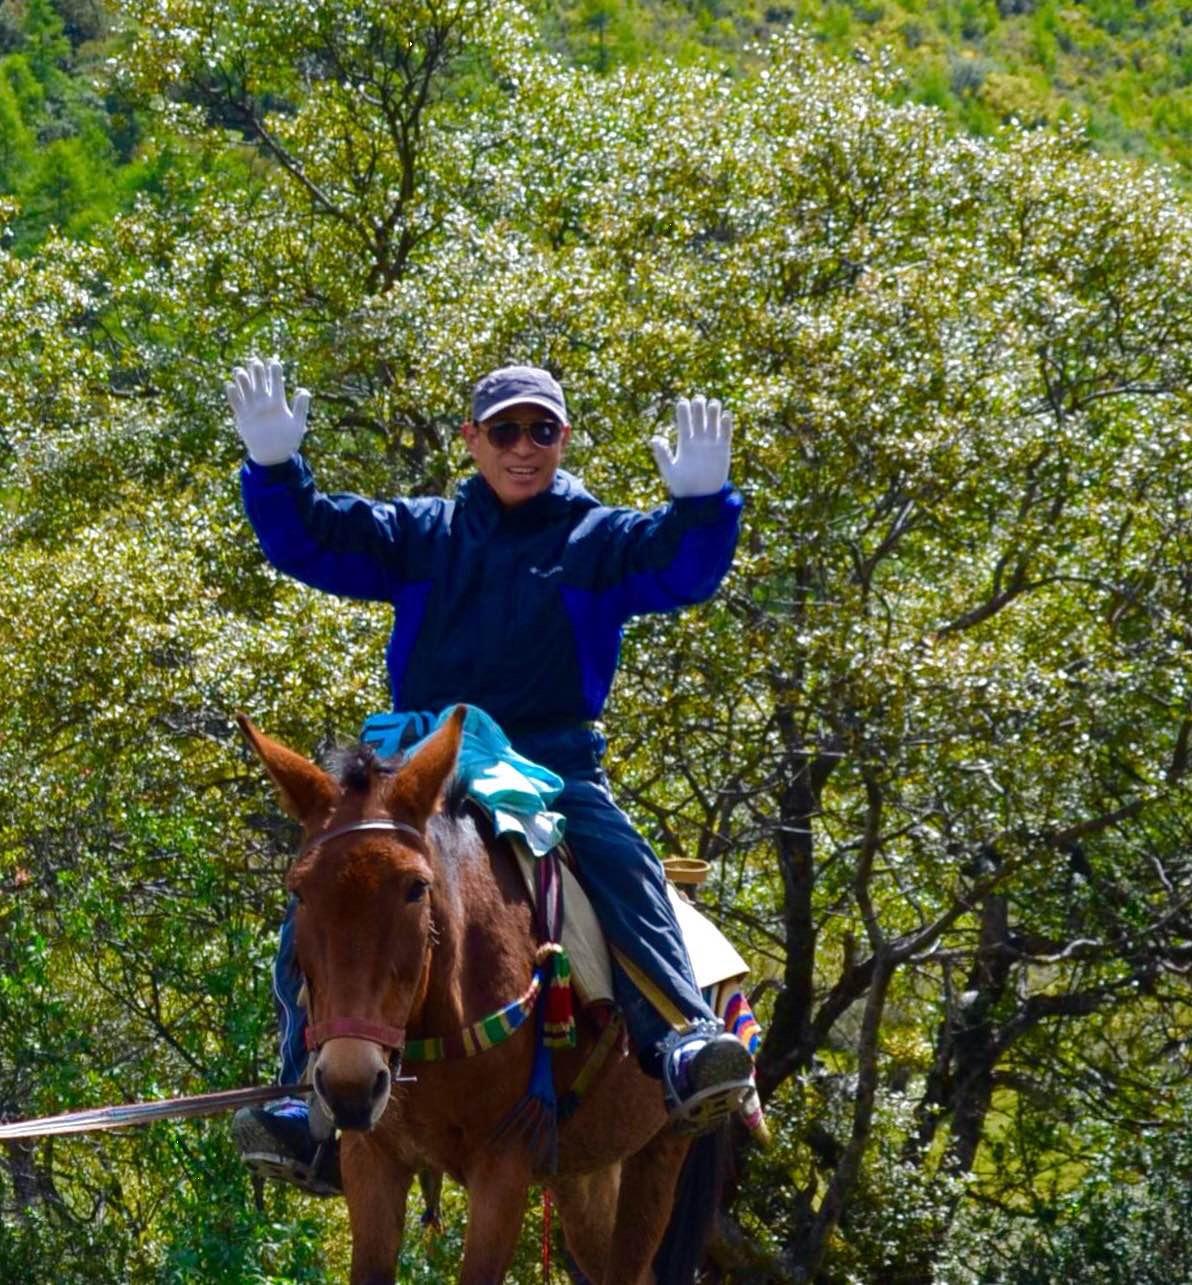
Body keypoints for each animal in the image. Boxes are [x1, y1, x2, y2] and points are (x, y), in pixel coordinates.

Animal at [232, 709, 719, 1279]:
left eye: (416, 887)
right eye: (300, 891)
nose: (351, 1085)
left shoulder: (503, 1164)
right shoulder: (371, 1157)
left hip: (660, 1149)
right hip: (586, 1170)